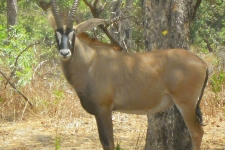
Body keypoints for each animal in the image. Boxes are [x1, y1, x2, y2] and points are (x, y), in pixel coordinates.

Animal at [48, 0, 208, 149]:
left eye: (73, 33)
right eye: (56, 33)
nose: (65, 53)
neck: (90, 61)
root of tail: (202, 63)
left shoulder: (104, 110)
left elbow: (108, 143)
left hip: (186, 103)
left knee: (197, 132)